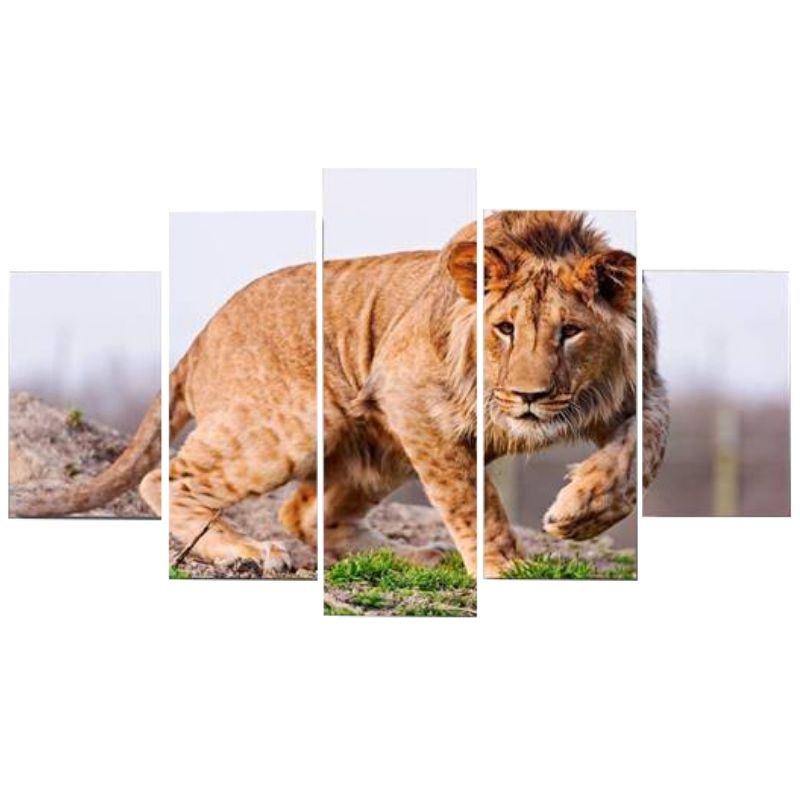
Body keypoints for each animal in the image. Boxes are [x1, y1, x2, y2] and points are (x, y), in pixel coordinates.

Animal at [12, 210, 668, 579]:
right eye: (504, 329)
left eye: (570, 331)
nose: (528, 396)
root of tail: (198, 340)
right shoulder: (411, 397)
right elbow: (473, 501)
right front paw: (504, 568)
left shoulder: (640, 387)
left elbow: (646, 448)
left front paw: (581, 512)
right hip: (301, 423)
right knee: (168, 479)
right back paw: (248, 552)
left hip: (381, 450)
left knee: (303, 512)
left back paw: (410, 556)